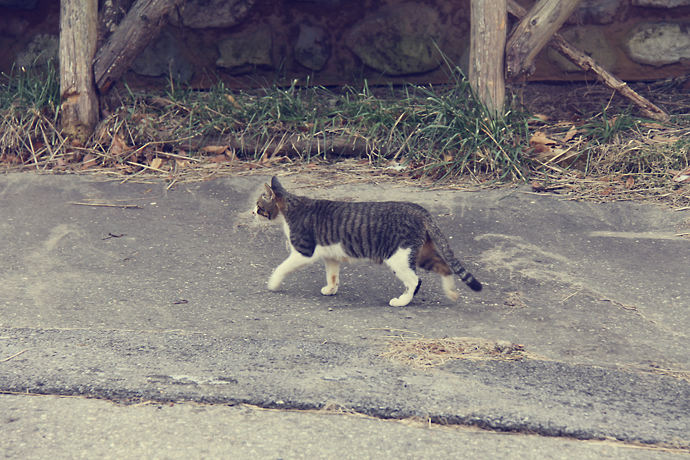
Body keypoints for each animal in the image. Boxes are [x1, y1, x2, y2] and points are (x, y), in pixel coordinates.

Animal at [253, 178, 478, 308]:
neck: (292, 207)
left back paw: (401, 301)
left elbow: (281, 268)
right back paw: (452, 294)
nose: (253, 212)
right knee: (445, 267)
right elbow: (332, 276)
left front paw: (272, 284)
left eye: (259, 205)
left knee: (415, 281)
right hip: (421, 253)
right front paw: (331, 290)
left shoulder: (303, 252)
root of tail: (419, 209)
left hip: (398, 257)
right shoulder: (331, 255)